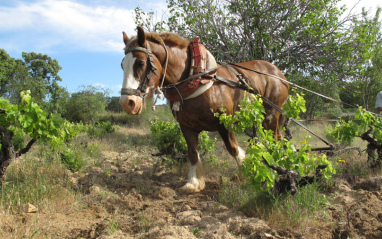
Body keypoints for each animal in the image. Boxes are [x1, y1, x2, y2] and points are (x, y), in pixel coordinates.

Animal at [121, 27, 288, 193]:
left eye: (141, 62)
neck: (198, 78)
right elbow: (193, 153)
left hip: (271, 115)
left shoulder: (225, 124)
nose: (127, 103)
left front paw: (246, 173)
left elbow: (233, 149)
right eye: (122, 65)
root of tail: (279, 73)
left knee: (275, 139)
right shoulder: (186, 126)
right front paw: (193, 183)